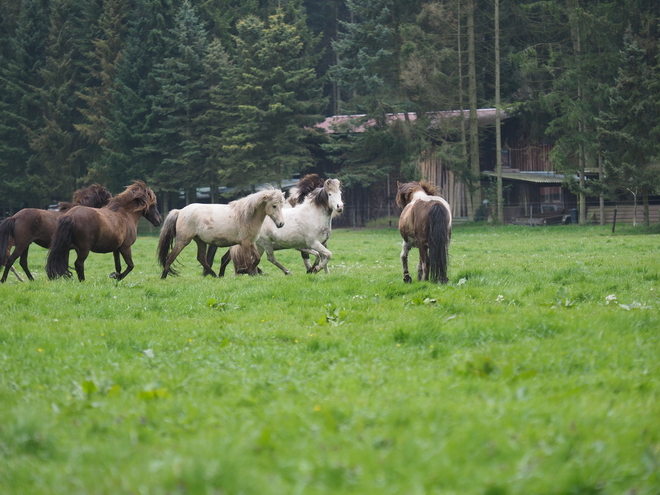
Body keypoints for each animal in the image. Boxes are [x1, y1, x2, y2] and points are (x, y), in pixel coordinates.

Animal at [213, 178, 346, 278]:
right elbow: (327, 255)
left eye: (340, 193)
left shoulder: (322, 243)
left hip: (259, 246)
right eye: (329, 194)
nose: (340, 207)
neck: (314, 215)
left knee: (254, 259)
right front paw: (315, 269)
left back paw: (252, 274)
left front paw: (324, 273)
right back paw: (286, 272)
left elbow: (324, 257)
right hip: (266, 244)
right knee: (270, 258)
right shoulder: (312, 243)